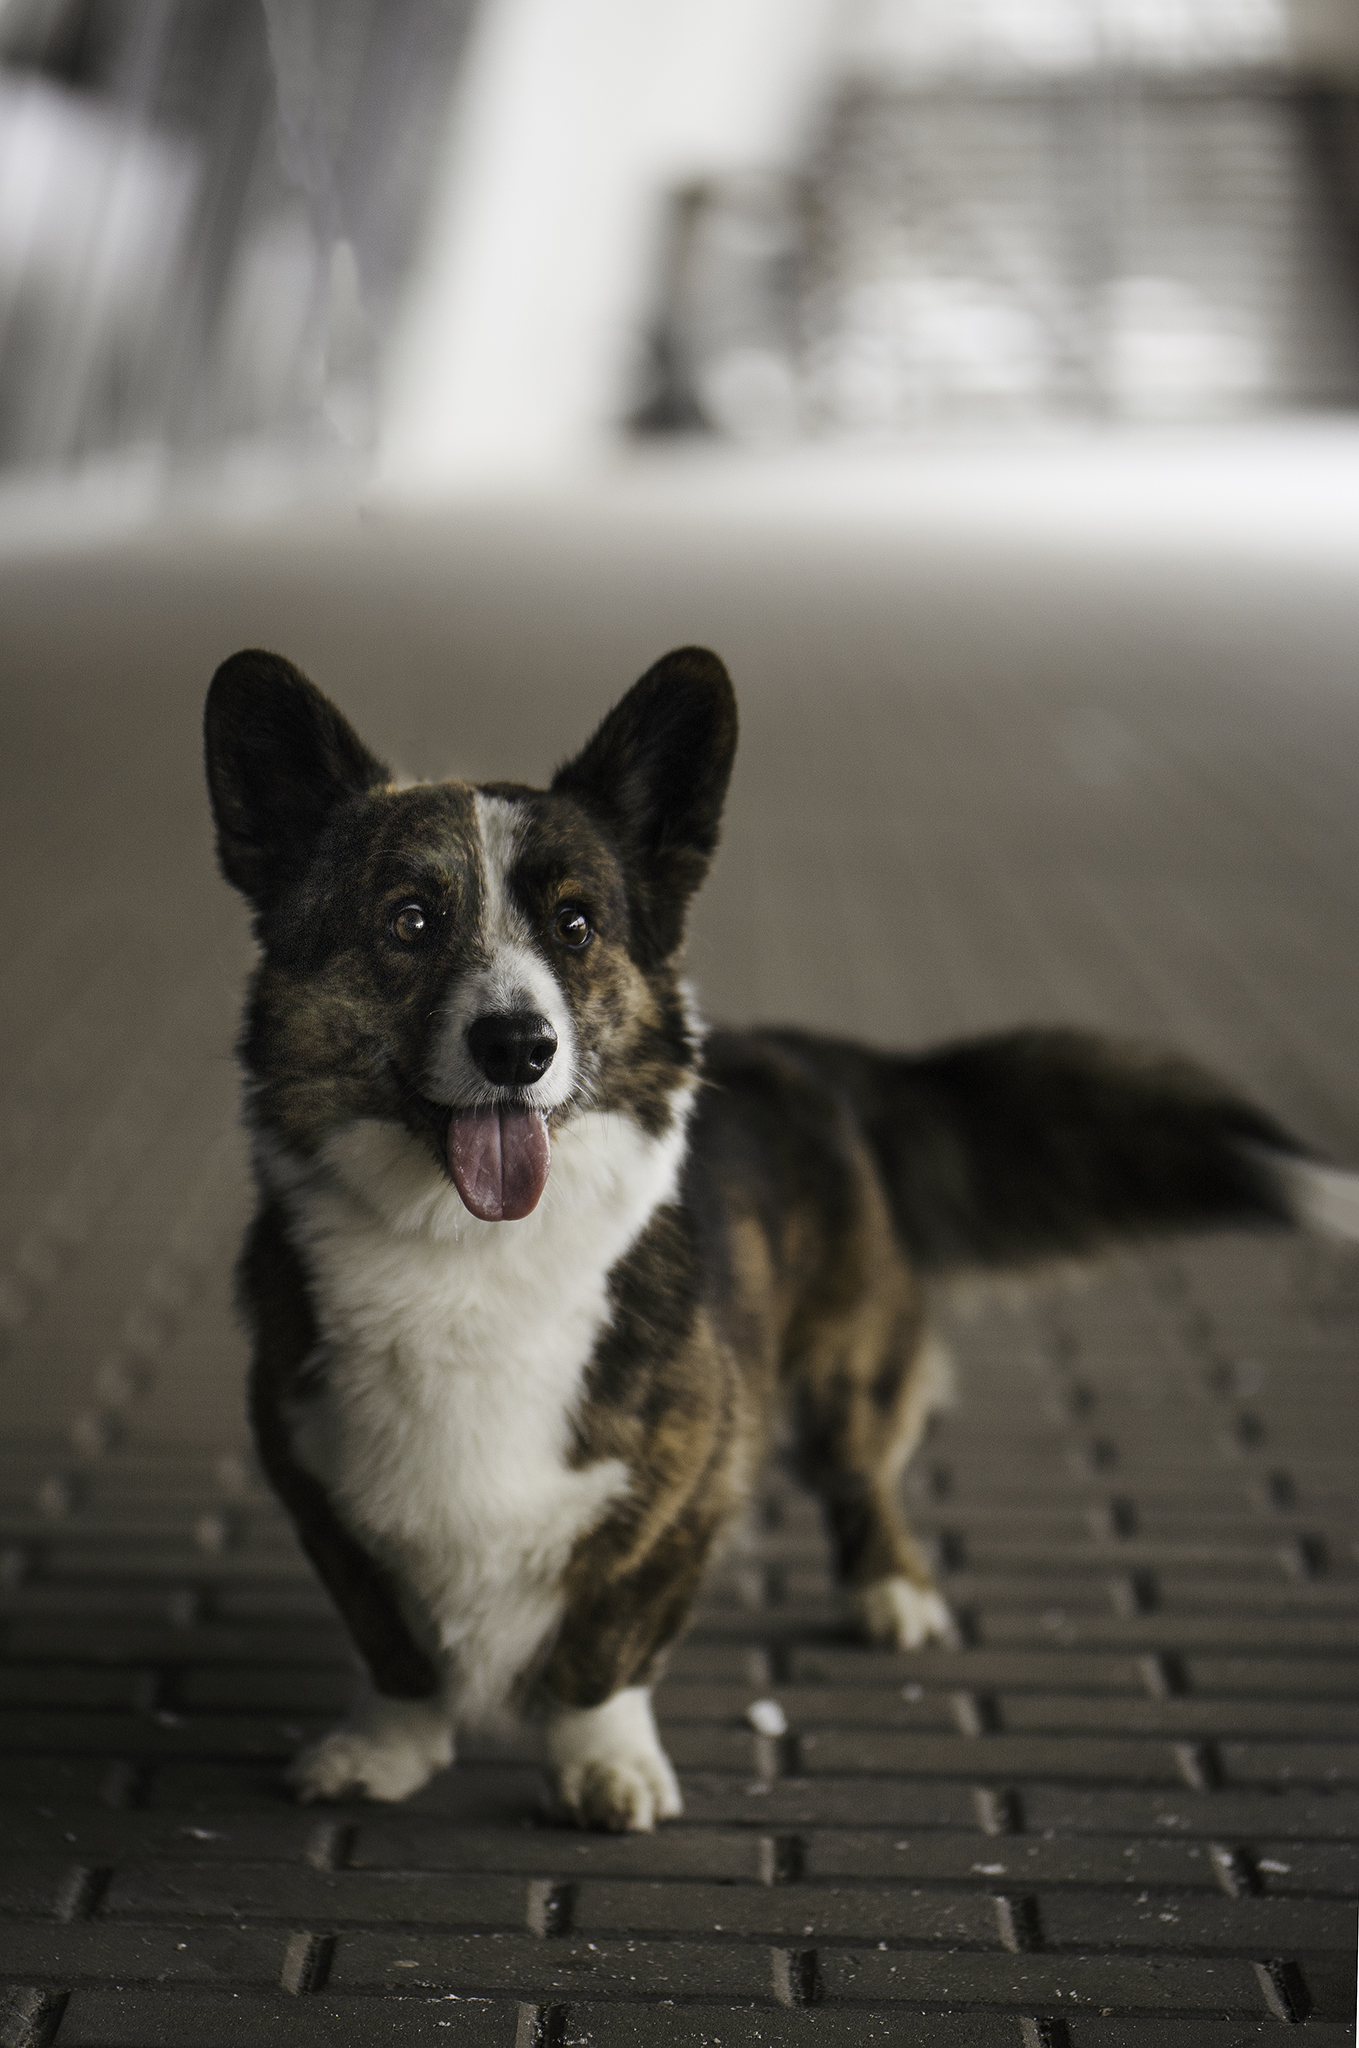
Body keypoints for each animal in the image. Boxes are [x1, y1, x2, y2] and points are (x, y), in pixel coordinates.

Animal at [204, 643, 1359, 1832]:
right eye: (410, 920)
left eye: (576, 927)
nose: (518, 1045)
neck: (466, 1254)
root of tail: (806, 1050)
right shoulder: (313, 1478)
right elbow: (389, 1640)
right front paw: (385, 1745)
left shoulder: (691, 1486)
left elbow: (603, 1643)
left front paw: (601, 1762)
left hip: (847, 1368)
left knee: (864, 1471)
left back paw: (892, 1590)